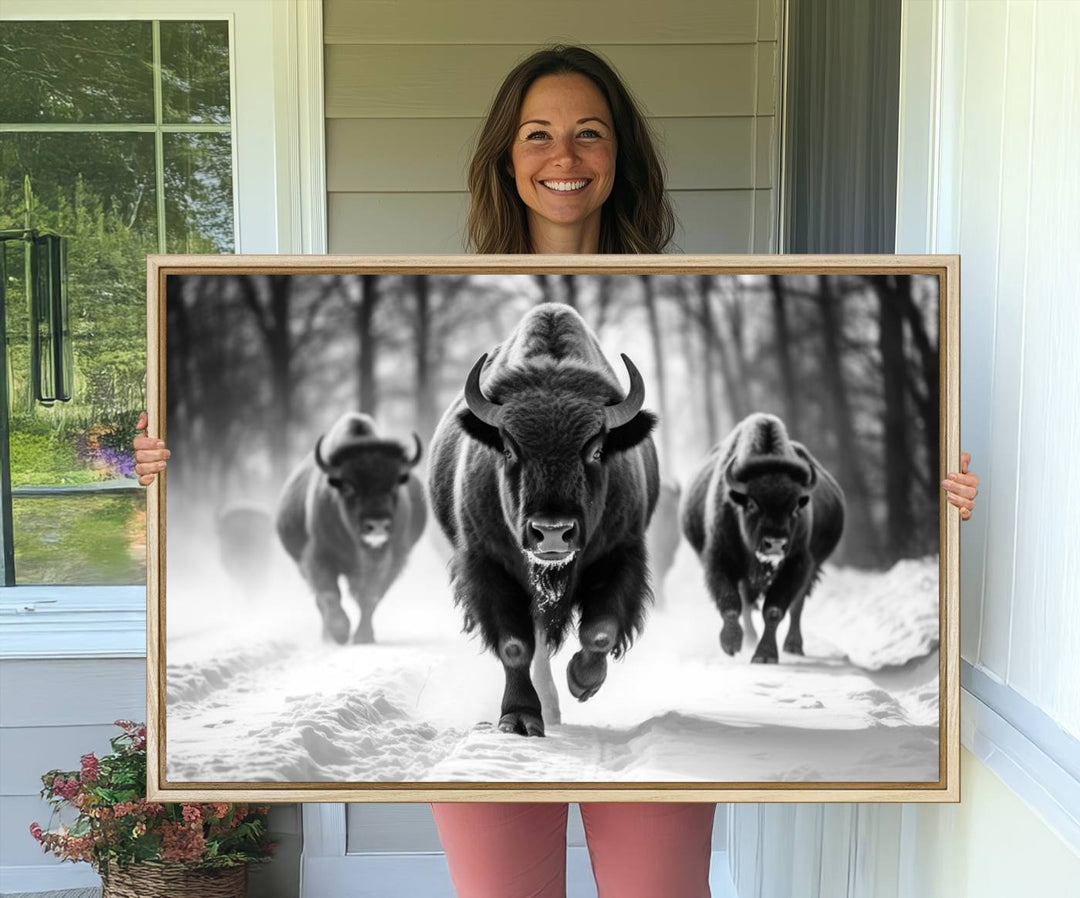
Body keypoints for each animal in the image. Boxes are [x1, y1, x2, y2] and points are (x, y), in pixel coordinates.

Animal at [278, 414, 425, 648]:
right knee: (321, 600)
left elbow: (370, 597)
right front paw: (340, 633)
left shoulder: (389, 560)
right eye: (348, 486)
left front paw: (364, 637)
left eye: (394, 484)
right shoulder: (317, 557)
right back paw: (328, 636)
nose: (377, 524)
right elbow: (330, 594)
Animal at [429, 304, 656, 739]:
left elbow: (600, 631)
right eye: (508, 448)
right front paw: (520, 718)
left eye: (597, 450)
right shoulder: (488, 565)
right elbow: (515, 646)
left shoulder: (621, 554)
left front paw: (582, 681)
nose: (552, 533)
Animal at [682, 412, 842, 661]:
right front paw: (731, 644)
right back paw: (749, 639)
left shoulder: (797, 564)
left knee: (797, 606)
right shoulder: (720, 559)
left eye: (795, 508)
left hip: (812, 568)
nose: (775, 544)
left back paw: (793, 646)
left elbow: (774, 610)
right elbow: (731, 603)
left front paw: (765, 655)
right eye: (751, 504)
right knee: (747, 603)